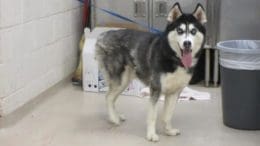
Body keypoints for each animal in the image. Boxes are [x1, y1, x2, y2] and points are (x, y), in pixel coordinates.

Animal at [95, 2, 207, 141]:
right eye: (179, 31)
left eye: (193, 31)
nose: (187, 43)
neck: (173, 58)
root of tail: (103, 35)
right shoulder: (155, 89)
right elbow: (153, 116)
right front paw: (151, 135)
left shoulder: (174, 92)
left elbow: (167, 115)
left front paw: (168, 131)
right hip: (120, 80)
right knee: (108, 97)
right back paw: (114, 119)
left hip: (124, 82)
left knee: (111, 98)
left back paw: (116, 116)